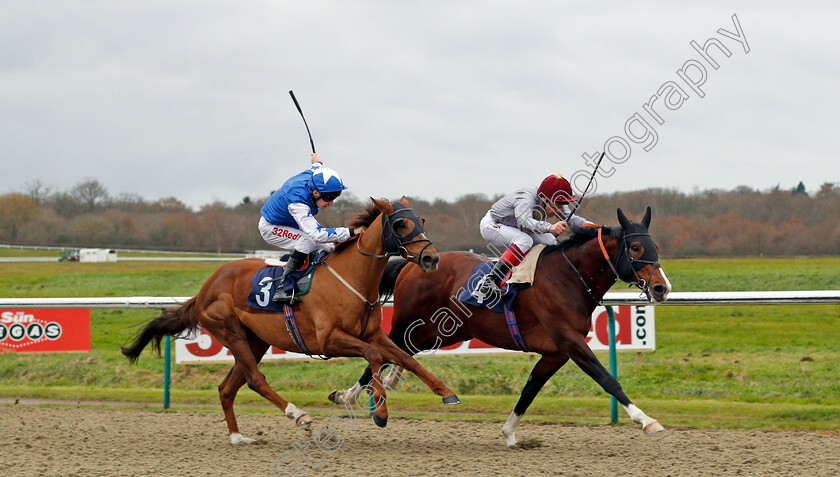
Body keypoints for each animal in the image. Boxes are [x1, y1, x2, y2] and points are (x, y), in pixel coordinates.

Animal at [121, 197, 460, 442]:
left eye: (421, 221)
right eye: (401, 224)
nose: (431, 258)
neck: (352, 279)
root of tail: (206, 288)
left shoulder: (373, 333)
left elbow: (406, 358)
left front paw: (447, 393)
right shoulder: (329, 340)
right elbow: (375, 357)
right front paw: (380, 410)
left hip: (255, 340)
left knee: (228, 388)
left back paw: (238, 438)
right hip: (230, 331)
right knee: (255, 379)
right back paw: (298, 415)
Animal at [332, 207, 672, 446]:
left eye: (655, 245)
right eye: (636, 248)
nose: (661, 288)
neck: (569, 277)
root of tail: (413, 264)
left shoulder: (557, 352)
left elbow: (530, 389)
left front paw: (509, 432)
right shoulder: (570, 342)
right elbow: (607, 380)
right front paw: (646, 420)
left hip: (442, 330)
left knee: (401, 353)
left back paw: (377, 387)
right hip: (411, 323)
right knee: (383, 349)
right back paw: (350, 396)